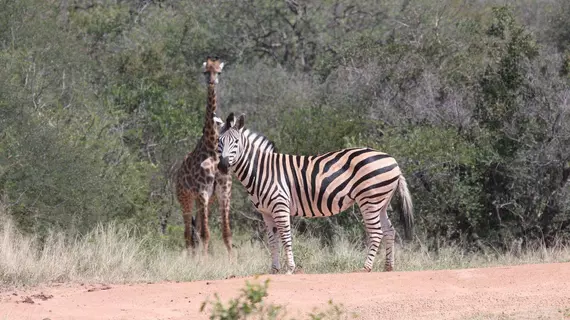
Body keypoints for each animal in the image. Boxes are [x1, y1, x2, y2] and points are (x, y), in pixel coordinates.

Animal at [175, 57, 233, 258]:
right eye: (205, 72)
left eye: (219, 72)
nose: (212, 82)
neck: (212, 149)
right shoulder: (202, 192)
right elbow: (205, 233)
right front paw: (204, 261)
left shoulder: (223, 192)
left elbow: (226, 233)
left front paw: (233, 260)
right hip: (185, 198)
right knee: (187, 233)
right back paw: (192, 258)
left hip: (204, 201)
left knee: (196, 231)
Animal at [217, 113, 412, 276]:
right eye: (219, 141)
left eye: (236, 142)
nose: (223, 166)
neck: (261, 171)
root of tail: (392, 160)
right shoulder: (266, 212)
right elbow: (272, 241)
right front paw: (274, 270)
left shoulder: (280, 206)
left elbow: (286, 237)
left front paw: (290, 269)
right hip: (381, 202)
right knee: (389, 230)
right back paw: (388, 266)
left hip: (369, 199)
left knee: (377, 232)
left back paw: (366, 267)